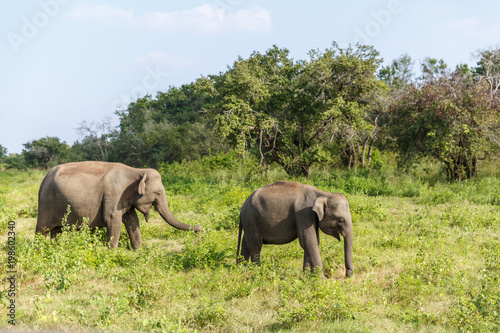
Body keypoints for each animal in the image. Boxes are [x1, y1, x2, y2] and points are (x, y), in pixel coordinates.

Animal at [35, 160, 201, 248]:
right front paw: (111, 254)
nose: (200, 228)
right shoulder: (113, 195)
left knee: (56, 232)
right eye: (158, 193)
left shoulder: (125, 199)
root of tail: (43, 180)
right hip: (46, 204)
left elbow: (133, 221)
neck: (136, 171)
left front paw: (139, 252)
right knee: (41, 231)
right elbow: (113, 221)